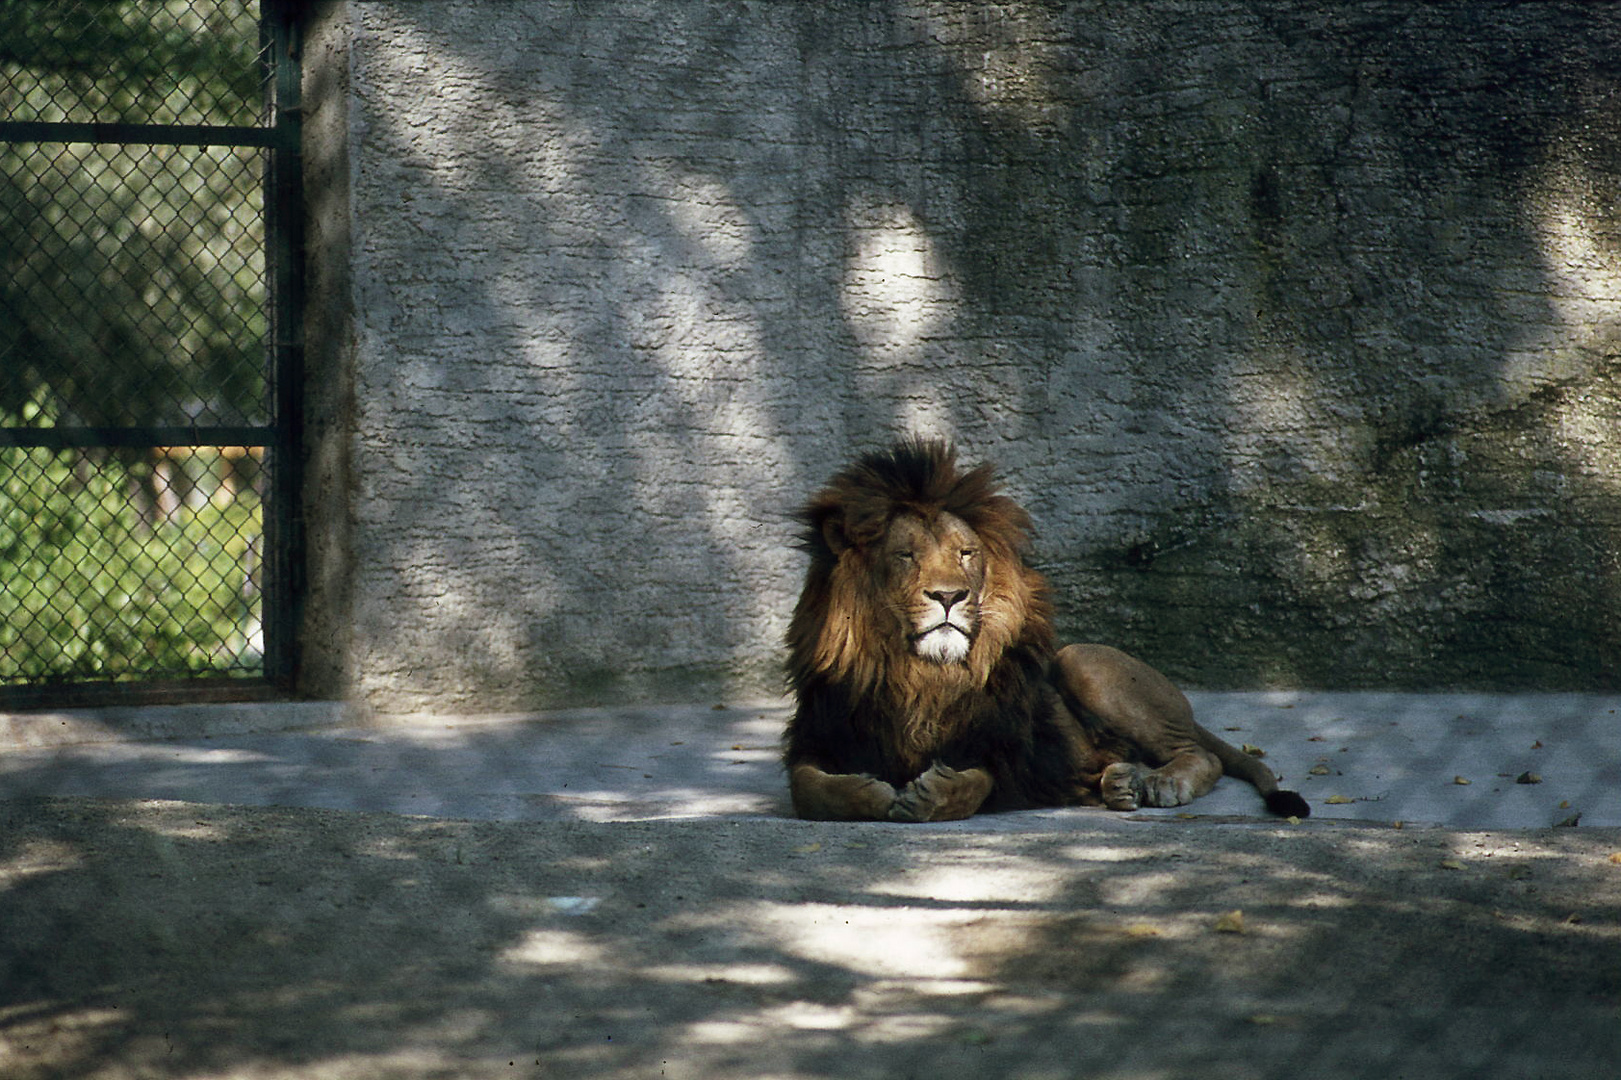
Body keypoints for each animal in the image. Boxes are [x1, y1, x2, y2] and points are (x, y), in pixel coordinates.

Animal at [778, 434, 1309, 820]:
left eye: (965, 554)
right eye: (906, 555)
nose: (950, 596)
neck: (920, 675)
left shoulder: (1005, 751)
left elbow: (977, 783)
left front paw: (931, 795)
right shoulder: (821, 735)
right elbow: (809, 789)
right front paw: (870, 793)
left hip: (1082, 660)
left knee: (1202, 754)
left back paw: (1159, 782)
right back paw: (1122, 783)